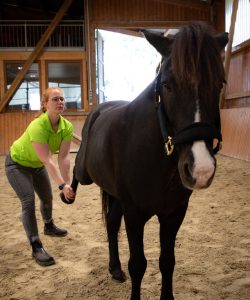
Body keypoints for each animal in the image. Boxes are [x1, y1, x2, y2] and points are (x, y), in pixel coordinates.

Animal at [63, 21, 228, 300]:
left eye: (220, 84)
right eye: (168, 84)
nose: (201, 170)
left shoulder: (174, 214)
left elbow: (167, 261)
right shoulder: (135, 214)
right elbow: (138, 264)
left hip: (115, 195)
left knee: (110, 223)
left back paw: (115, 269)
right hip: (86, 173)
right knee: (76, 173)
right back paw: (68, 194)